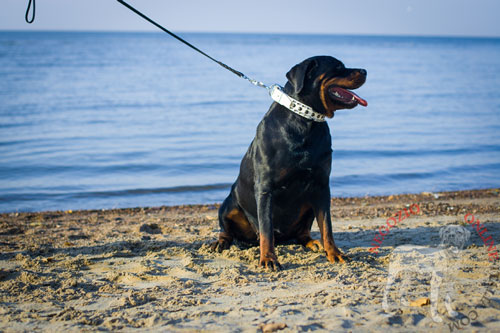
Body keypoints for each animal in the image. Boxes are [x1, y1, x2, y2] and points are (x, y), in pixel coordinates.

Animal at [210, 55, 368, 268]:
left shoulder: (321, 186)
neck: (305, 119)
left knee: (302, 232)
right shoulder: (266, 188)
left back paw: (313, 243)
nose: (365, 71)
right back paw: (220, 242)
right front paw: (268, 258)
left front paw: (334, 253)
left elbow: (327, 226)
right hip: (229, 205)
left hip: (309, 204)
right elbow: (266, 229)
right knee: (228, 229)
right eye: (338, 67)